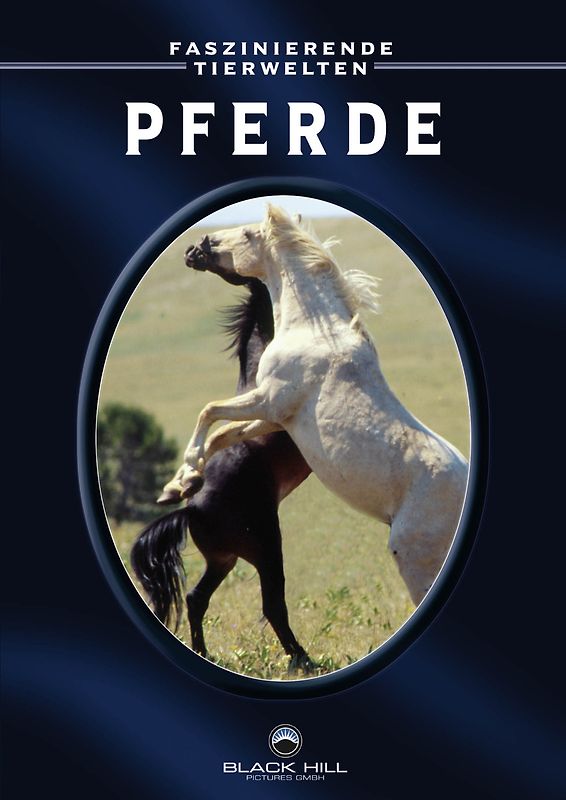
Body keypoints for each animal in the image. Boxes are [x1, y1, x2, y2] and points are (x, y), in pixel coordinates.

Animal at [131, 276, 313, 671]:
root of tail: (192, 509)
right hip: (265, 549)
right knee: (272, 605)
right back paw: (304, 661)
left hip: (223, 559)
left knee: (196, 598)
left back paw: (204, 652)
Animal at [161, 205, 469, 605]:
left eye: (246, 234)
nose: (195, 248)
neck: (313, 331)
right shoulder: (277, 419)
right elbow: (222, 435)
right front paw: (181, 484)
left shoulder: (269, 400)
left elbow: (209, 411)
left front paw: (182, 480)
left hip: (416, 559)